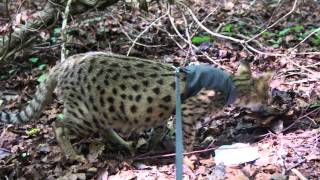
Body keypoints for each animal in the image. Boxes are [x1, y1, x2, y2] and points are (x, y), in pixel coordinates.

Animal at [0, 51, 272, 160]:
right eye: (267, 94)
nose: (271, 102)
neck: (230, 83)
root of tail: (64, 62)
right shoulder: (186, 112)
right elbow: (187, 137)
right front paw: (189, 154)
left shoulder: (167, 114)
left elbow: (158, 131)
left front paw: (153, 146)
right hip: (84, 114)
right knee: (58, 126)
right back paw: (73, 155)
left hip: (102, 111)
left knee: (104, 129)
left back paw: (124, 144)